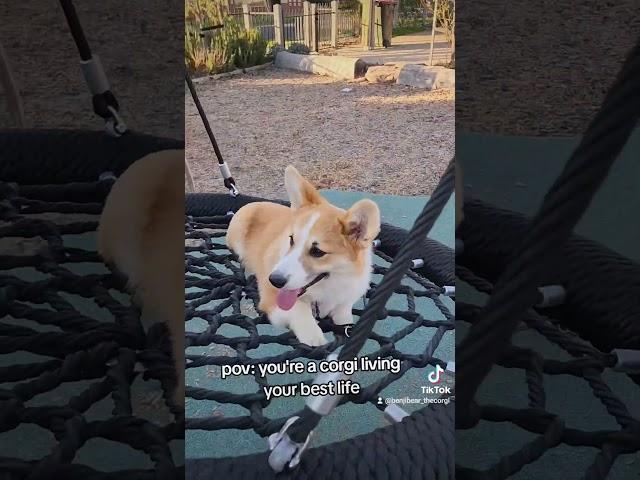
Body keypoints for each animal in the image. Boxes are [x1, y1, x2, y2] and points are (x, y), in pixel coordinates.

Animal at [226, 167, 380, 346]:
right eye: (292, 239)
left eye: (317, 252)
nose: (274, 280)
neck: (327, 288)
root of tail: (254, 203)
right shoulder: (272, 299)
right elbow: (298, 309)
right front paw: (314, 337)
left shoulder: (345, 300)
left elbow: (344, 316)